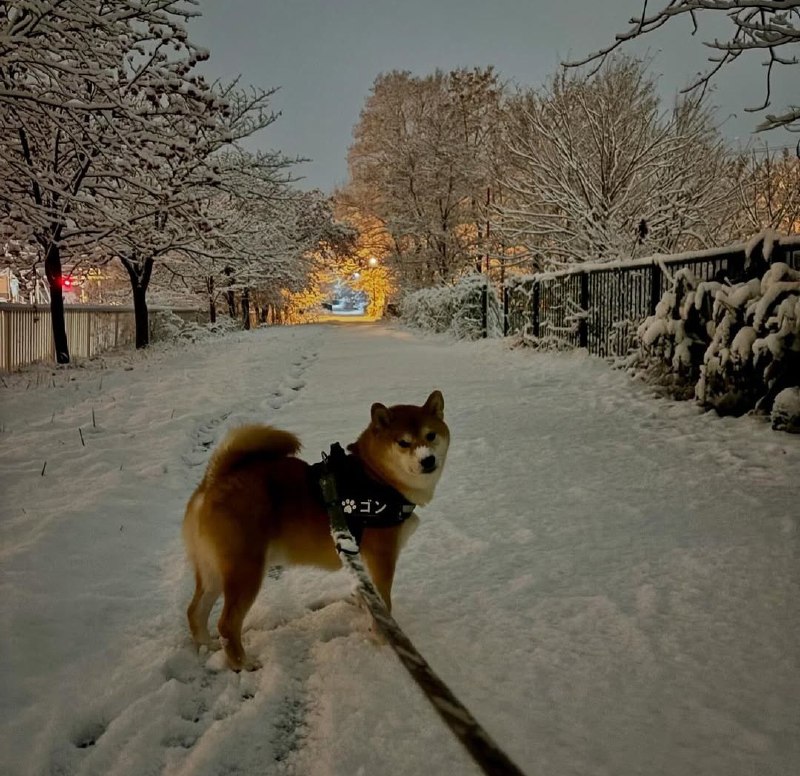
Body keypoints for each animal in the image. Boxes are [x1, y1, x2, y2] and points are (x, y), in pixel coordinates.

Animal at [184, 392, 454, 668]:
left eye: (431, 435)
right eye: (403, 443)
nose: (428, 459)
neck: (377, 476)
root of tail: (213, 480)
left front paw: (362, 606)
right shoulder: (383, 557)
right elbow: (384, 602)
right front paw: (381, 638)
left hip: (213, 571)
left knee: (195, 611)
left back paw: (207, 644)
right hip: (245, 571)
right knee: (227, 624)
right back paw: (243, 664)